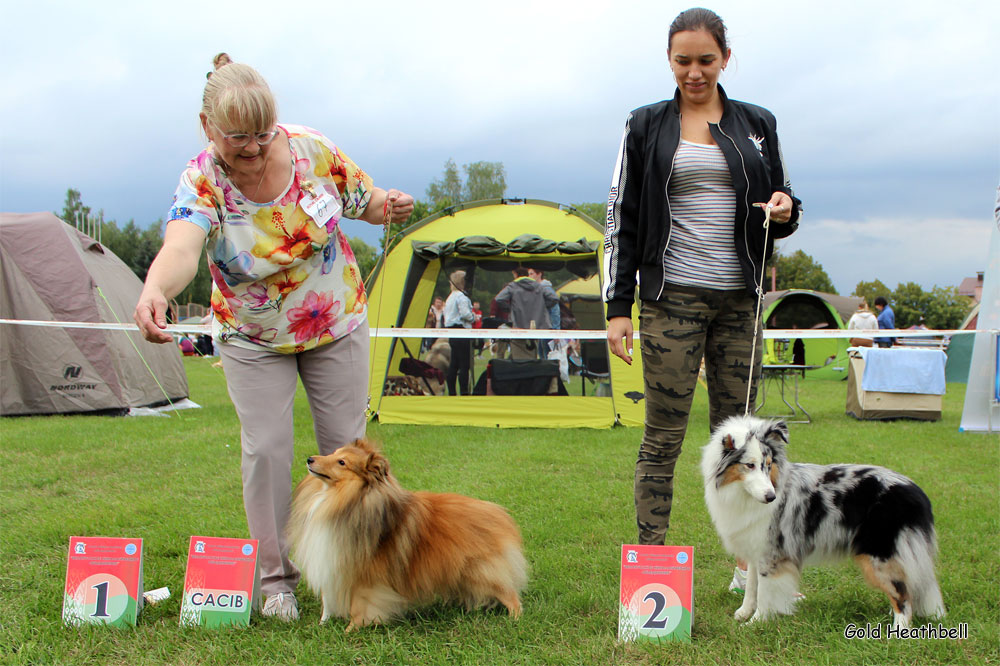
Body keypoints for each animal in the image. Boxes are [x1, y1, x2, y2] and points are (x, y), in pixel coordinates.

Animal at [288, 436, 528, 628]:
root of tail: (501, 515)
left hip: (482, 571)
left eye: (341, 462)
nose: (309, 459)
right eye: (334, 453)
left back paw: (515, 618)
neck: (347, 499)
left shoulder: (363, 576)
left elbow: (359, 606)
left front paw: (351, 630)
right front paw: (323, 623)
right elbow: (327, 599)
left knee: (510, 594)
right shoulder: (332, 560)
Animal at [700, 416, 940, 628]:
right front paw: (744, 613)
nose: (771, 497)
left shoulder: (772, 552)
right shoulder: (755, 548)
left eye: (768, 465)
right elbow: (751, 587)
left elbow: (765, 592)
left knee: (903, 595)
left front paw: (757, 622)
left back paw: (898, 630)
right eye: (749, 465)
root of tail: (916, 491)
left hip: (879, 554)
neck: (742, 494)